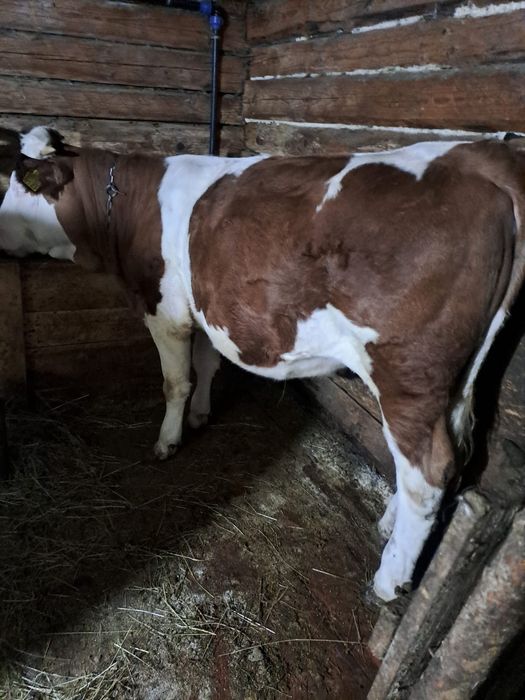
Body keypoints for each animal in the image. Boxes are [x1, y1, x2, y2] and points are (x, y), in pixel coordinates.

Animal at [0, 125, 523, 603]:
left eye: (21, 182)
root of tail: (477, 155)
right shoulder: (206, 307)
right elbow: (208, 365)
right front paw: (201, 415)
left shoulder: (164, 309)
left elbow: (175, 380)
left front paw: (169, 440)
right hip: (457, 380)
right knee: (446, 455)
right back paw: (389, 523)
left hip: (407, 371)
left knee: (427, 471)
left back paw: (389, 578)